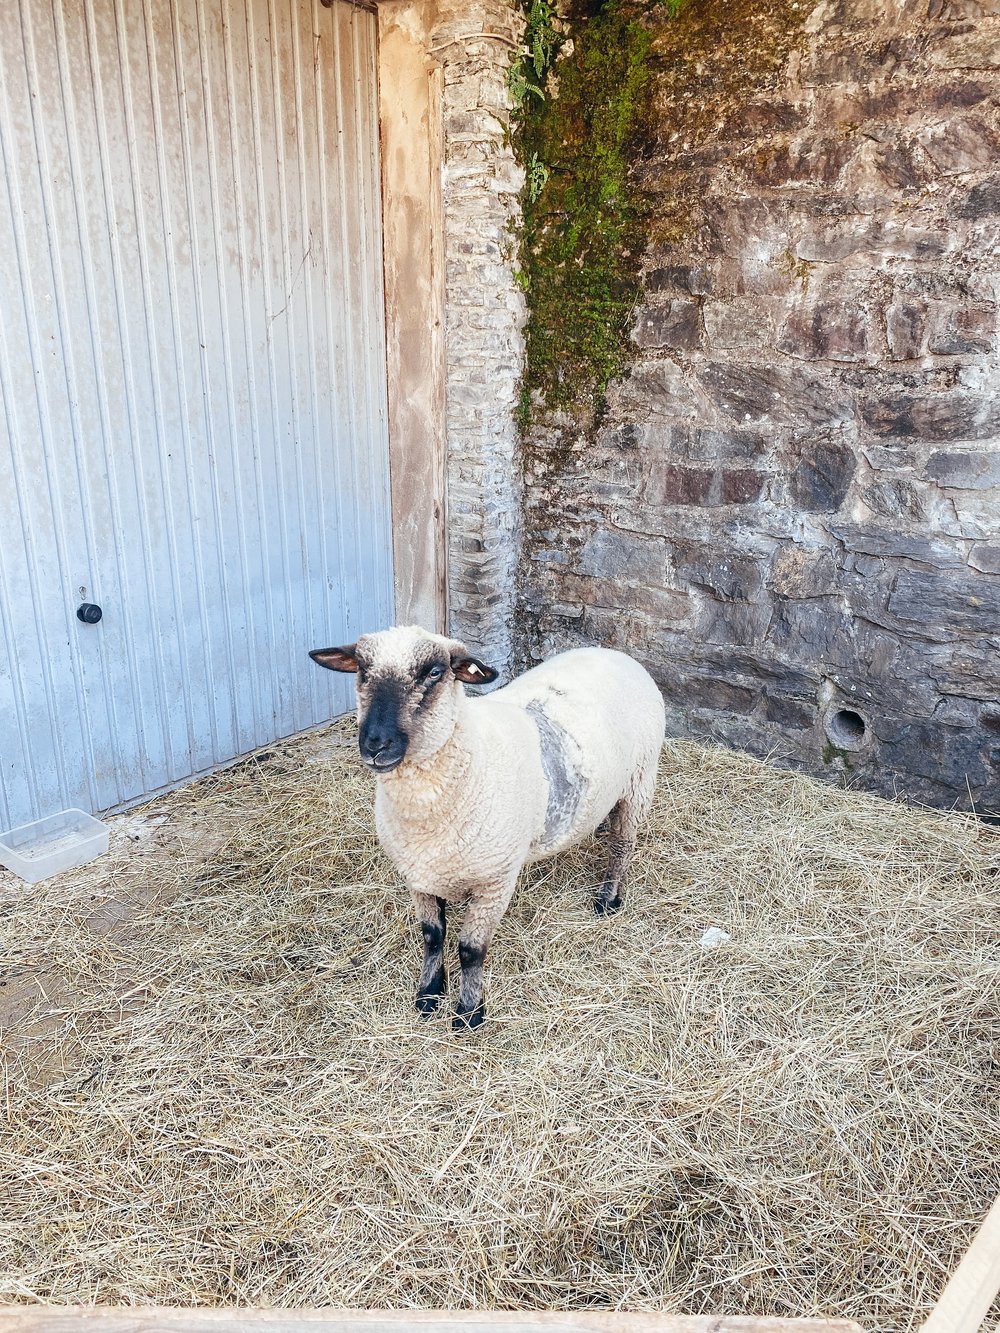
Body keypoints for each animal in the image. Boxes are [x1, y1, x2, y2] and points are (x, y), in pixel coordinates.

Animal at [308, 626, 666, 1029]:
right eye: (362, 670)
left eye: (435, 672)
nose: (375, 744)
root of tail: (617, 654)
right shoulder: (419, 875)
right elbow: (432, 936)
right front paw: (429, 993)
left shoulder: (495, 881)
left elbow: (471, 949)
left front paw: (469, 1011)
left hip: (641, 780)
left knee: (623, 845)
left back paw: (607, 899)